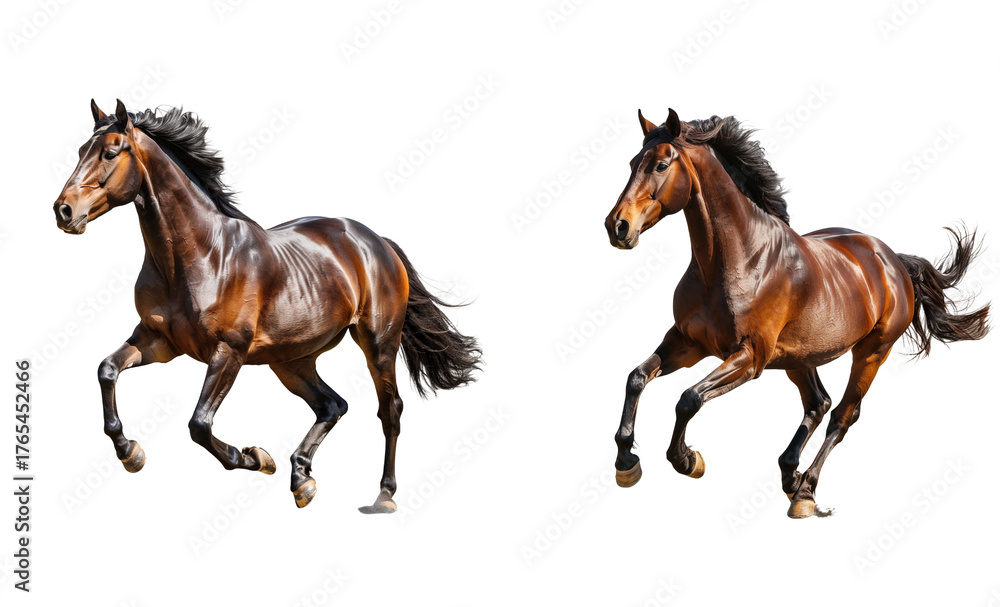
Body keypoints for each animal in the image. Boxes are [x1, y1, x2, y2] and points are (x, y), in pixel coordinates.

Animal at [52, 99, 482, 513]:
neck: (199, 256)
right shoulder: (158, 341)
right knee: (333, 405)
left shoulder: (229, 352)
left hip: (378, 345)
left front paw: (256, 457)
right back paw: (302, 479)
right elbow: (107, 370)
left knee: (389, 411)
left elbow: (199, 425)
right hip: (291, 360)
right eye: (81, 150)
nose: (63, 211)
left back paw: (383, 495)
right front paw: (130, 452)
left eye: (111, 152)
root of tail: (377, 242)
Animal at [604, 108, 990, 518]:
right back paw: (790, 475)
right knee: (819, 404)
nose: (617, 226)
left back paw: (805, 490)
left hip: (871, 353)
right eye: (632, 163)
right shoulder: (688, 343)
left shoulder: (749, 357)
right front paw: (626, 463)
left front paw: (687, 460)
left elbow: (688, 399)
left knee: (841, 416)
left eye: (661, 164)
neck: (736, 259)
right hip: (799, 357)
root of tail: (894, 261)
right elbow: (636, 378)